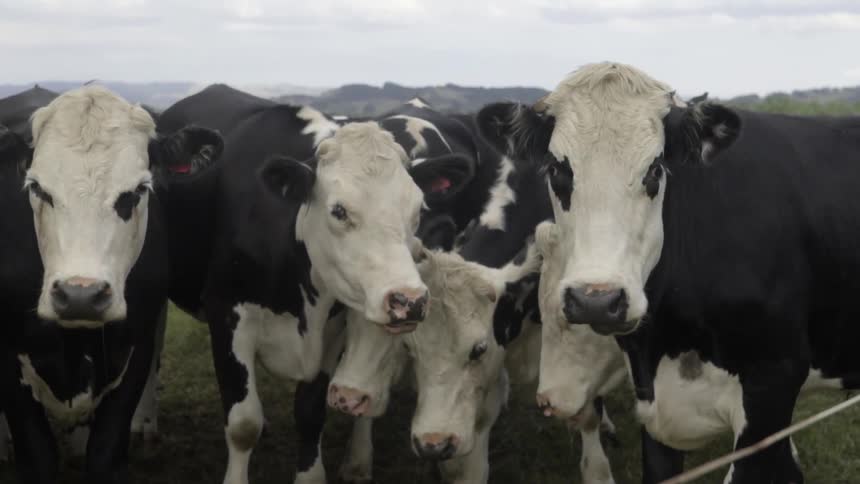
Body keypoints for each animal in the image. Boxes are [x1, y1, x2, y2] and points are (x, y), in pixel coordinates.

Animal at [0, 85, 221, 484]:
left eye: (138, 190)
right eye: (37, 188)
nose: (80, 295)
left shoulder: (136, 346)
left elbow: (105, 453)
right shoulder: (8, 357)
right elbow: (37, 454)